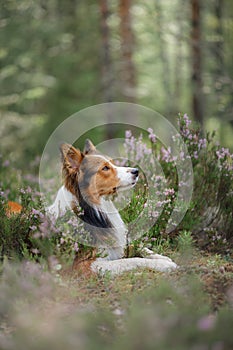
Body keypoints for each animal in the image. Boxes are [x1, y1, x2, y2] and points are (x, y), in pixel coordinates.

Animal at [46, 139, 177, 274]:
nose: (136, 171)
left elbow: (137, 246)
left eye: (113, 163)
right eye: (105, 168)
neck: (94, 208)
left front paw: (161, 257)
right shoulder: (85, 266)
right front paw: (162, 264)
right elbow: (130, 260)